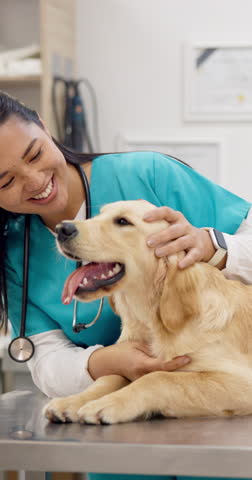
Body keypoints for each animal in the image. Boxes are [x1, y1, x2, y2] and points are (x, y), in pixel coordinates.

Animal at [43, 199, 252, 424]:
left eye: (122, 221)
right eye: (98, 215)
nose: (62, 229)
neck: (148, 320)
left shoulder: (240, 381)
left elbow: (159, 377)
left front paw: (106, 403)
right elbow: (108, 377)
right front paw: (73, 401)